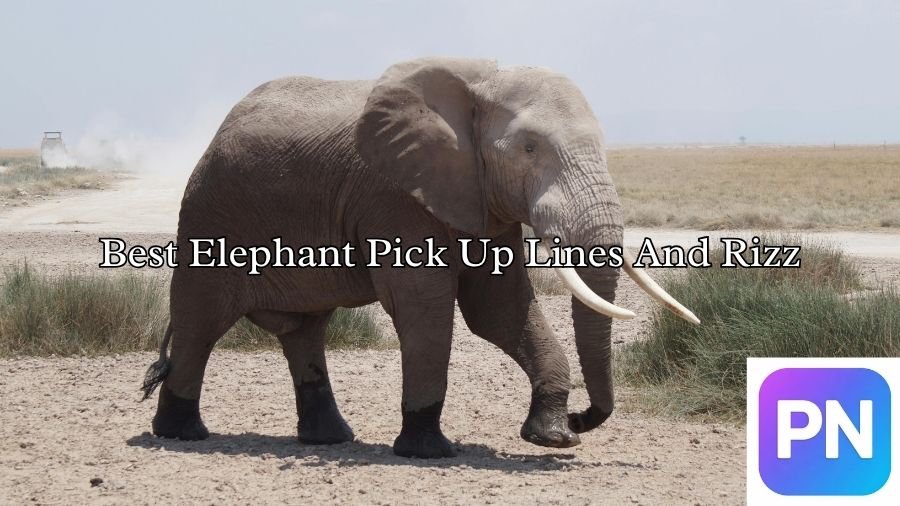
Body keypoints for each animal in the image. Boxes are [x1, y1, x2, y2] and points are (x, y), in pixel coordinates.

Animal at [141, 57, 698, 458]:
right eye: (529, 148)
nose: (585, 417)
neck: (479, 83)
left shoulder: (478, 200)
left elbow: (499, 308)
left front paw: (553, 438)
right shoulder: (395, 195)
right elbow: (425, 303)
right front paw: (429, 450)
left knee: (305, 330)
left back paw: (330, 439)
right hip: (210, 214)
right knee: (201, 324)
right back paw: (181, 434)